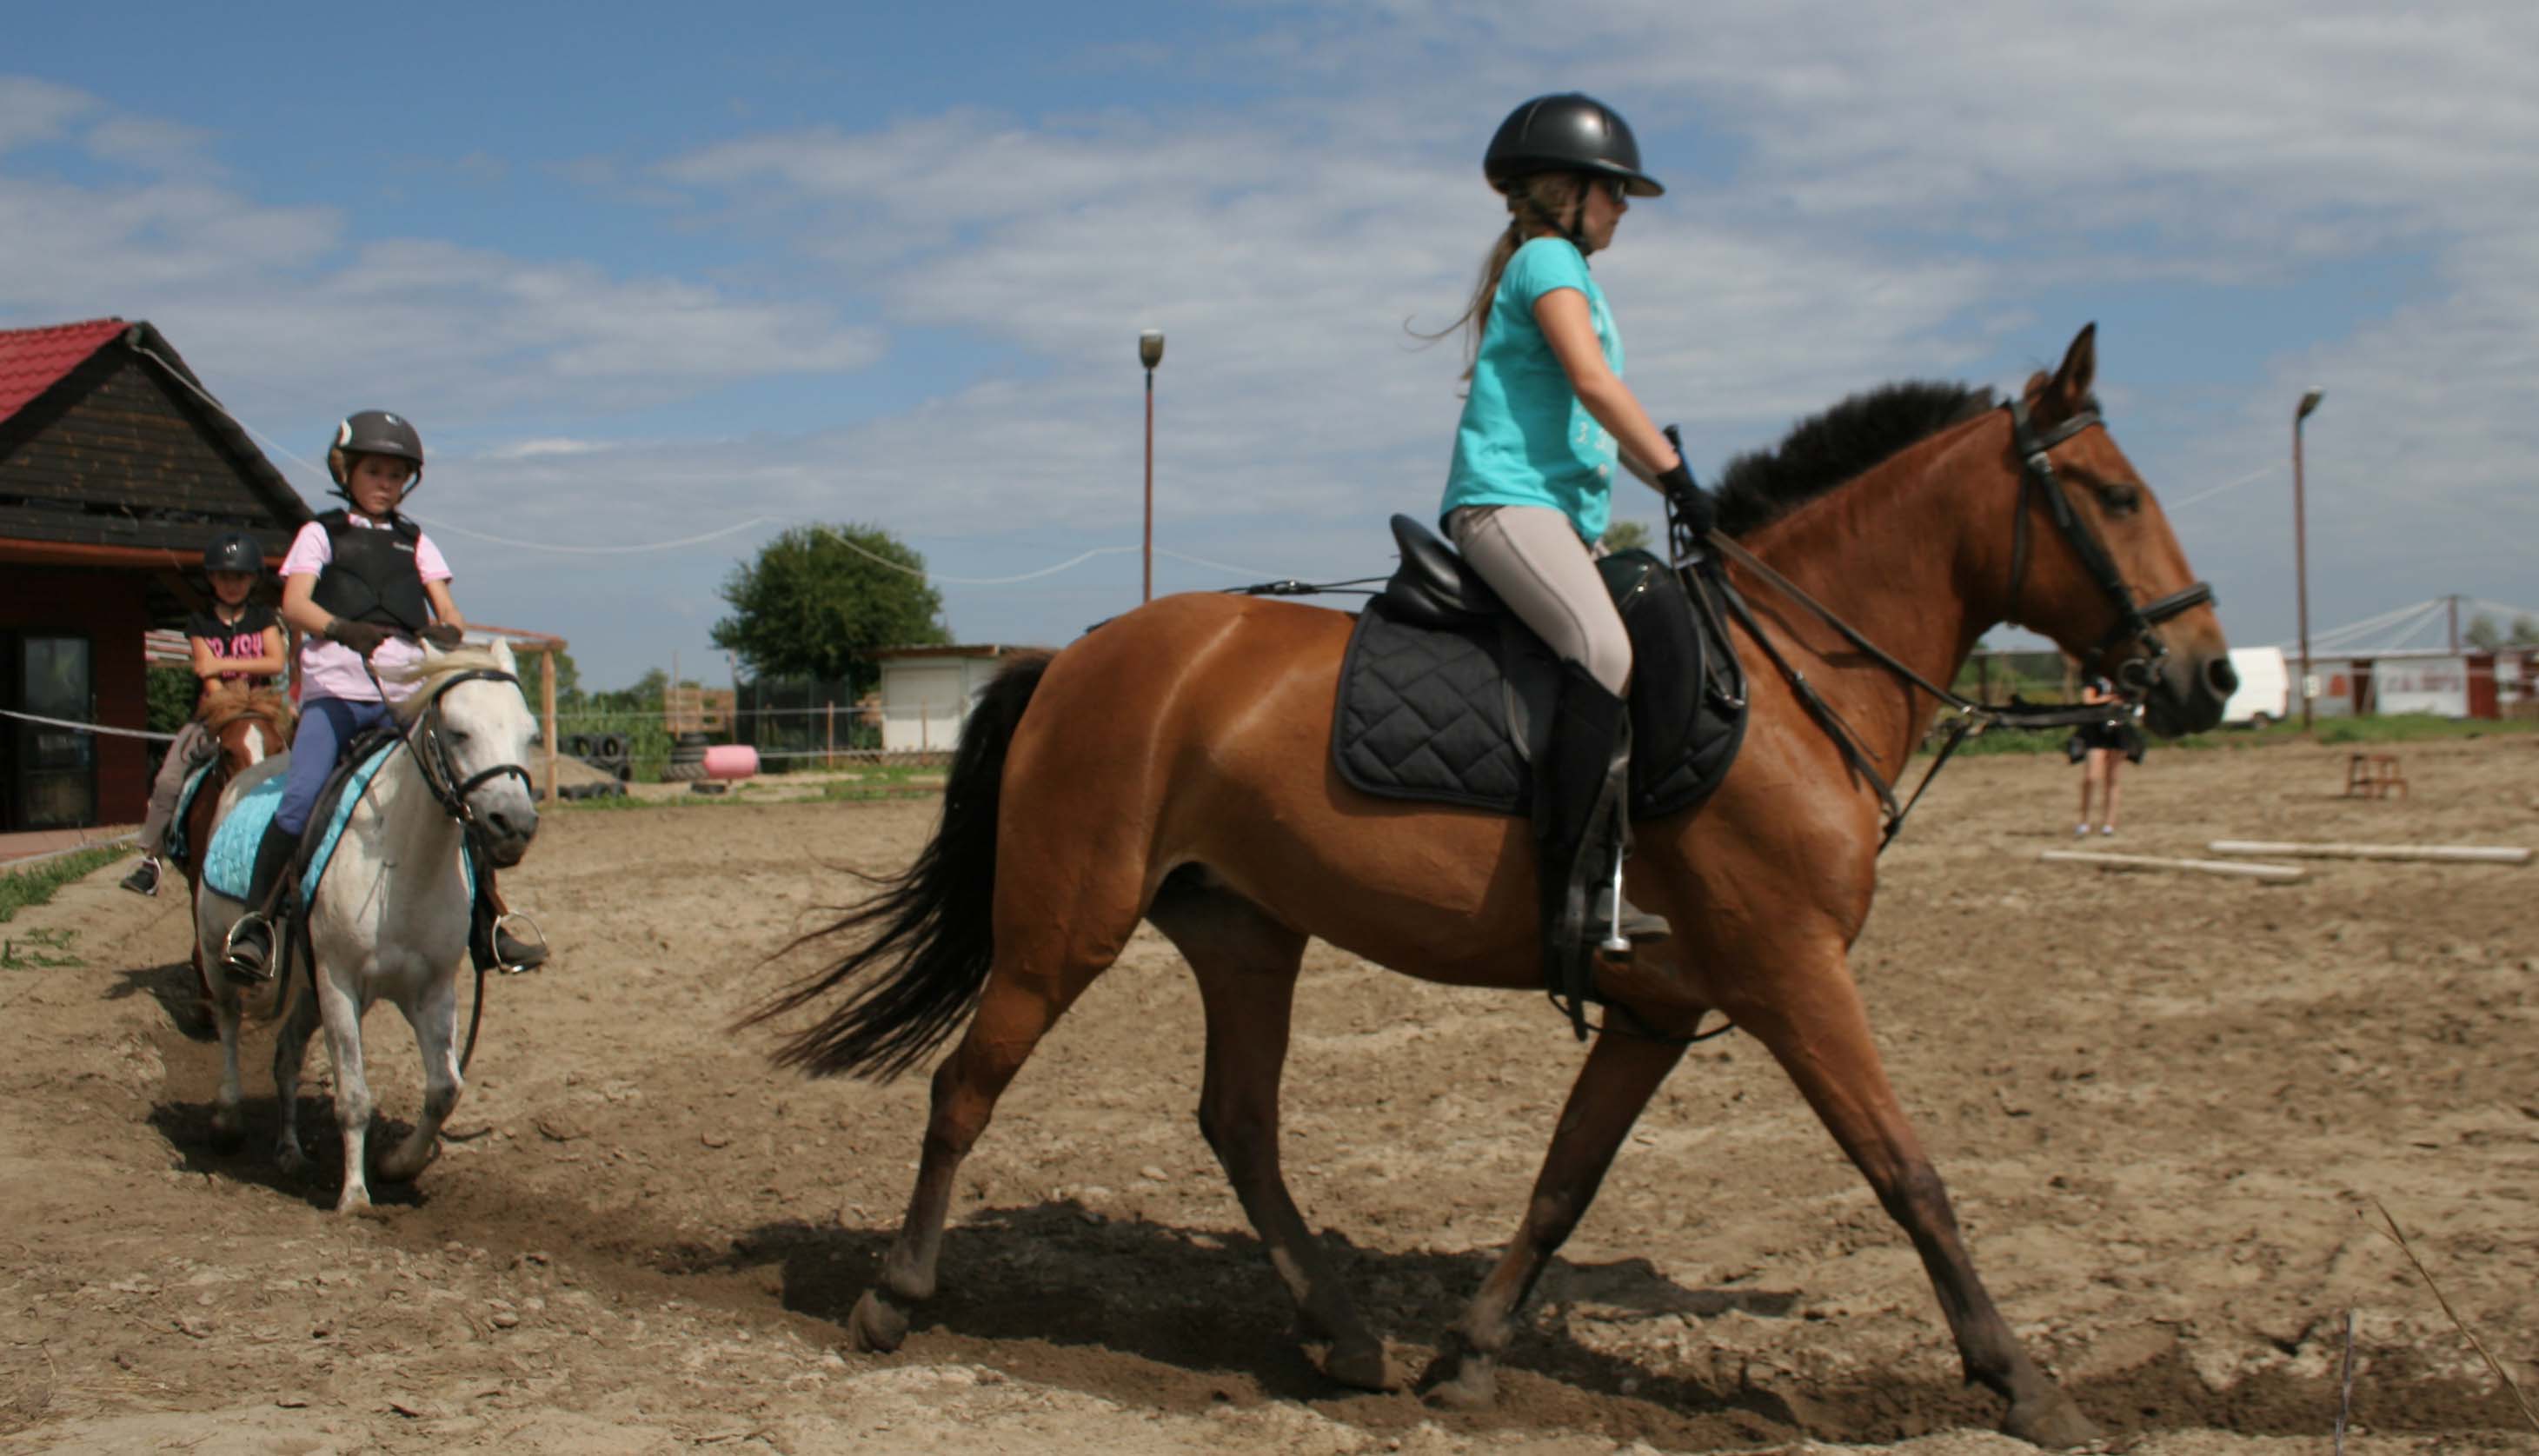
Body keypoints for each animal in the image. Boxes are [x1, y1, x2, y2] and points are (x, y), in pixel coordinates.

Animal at [192, 640, 541, 1209]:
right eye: (458, 732)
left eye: (529, 733)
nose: (513, 825)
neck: (402, 865)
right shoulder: (339, 982)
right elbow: (353, 1095)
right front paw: (354, 1196)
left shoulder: (430, 989)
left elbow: (445, 1088)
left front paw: (398, 1164)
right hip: (220, 959)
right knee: (227, 1024)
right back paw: (226, 1120)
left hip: (307, 990)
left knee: (286, 1053)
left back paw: (290, 1152)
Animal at [761, 325, 2234, 1443]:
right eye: (2112, 496)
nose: (2205, 674)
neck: (1786, 675)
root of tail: (1074, 654)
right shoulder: (1791, 974)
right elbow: (1906, 1169)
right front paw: (2025, 1383)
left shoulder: (1658, 1008)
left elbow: (1561, 1183)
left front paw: (1467, 1356)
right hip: (1064, 927)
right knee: (967, 1085)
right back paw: (893, 1298)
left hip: (1246, 932)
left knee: (1238, 1120)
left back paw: (1342, 1332)